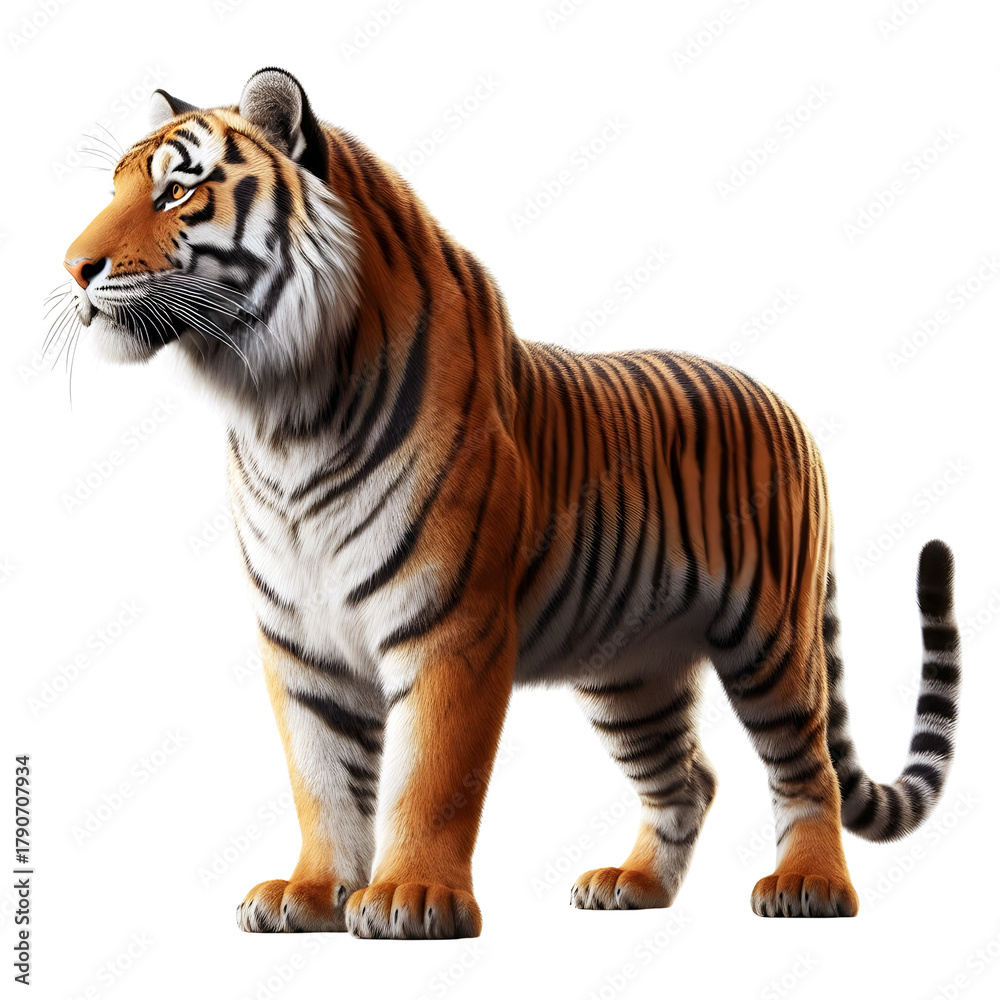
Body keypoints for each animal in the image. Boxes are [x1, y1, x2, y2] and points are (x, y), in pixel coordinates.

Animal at [58, 67, 961, 938]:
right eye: (114, 189)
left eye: (178, 191)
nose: (72, 268)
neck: (281, 413)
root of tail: (787, 407)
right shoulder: (301, 644)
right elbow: (321, 779)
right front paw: (310, 895)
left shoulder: (449, 626)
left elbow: (430, 778)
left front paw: (411, 897)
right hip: (632, 670)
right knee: (688, 778)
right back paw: (633, 886)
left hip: (771, 638)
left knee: (809, 770)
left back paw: (809, 886)